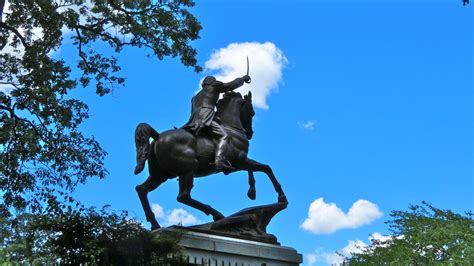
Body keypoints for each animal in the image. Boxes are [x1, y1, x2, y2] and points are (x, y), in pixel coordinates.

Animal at [134, 91, 288, 229]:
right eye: (252, 112)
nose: (250, 133)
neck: (230, 128)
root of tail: (158, 136)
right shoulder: (241, 161)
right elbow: (266, 168)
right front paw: (281, 197)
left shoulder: (239, 163)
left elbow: (254, 170)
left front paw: (252, 192)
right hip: (187, 170)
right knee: (183, 196)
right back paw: (217, 215)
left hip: (161, 175)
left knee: (141, 189)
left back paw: (155, 224)